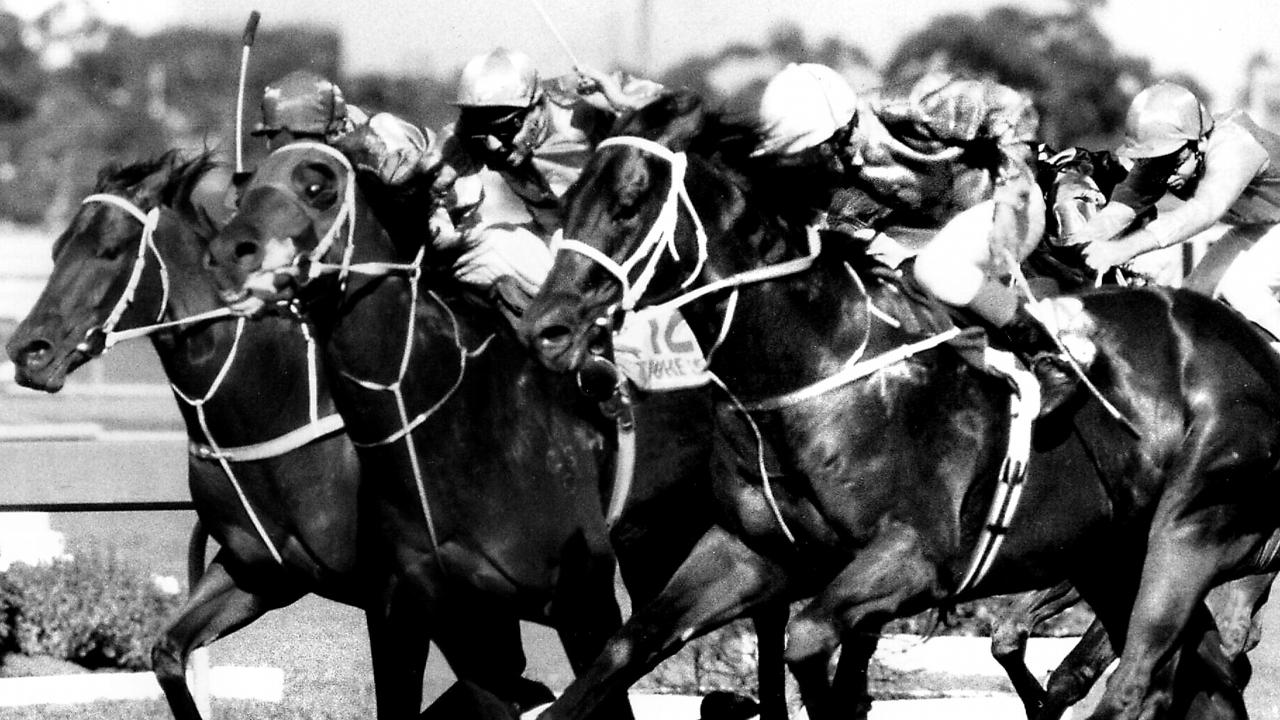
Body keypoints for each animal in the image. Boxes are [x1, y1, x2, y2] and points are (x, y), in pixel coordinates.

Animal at [5, 151, 555, 717]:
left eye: (111, 250)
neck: (280, 402)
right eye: (56, 249)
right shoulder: (261, 570)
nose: (28, 352)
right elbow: (167, 653)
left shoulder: (398, 597)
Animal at [522, 89, 1280, 717]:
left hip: (1190, 535)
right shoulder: (749, 551)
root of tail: (1250, 347)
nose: (545, 328)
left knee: (1140, 683)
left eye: (627, 204)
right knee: (1205, 675)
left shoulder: (914, 557)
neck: (820, 359)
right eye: (568, 200)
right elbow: (625, 649)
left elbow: (808, 640)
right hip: (1114, 554)